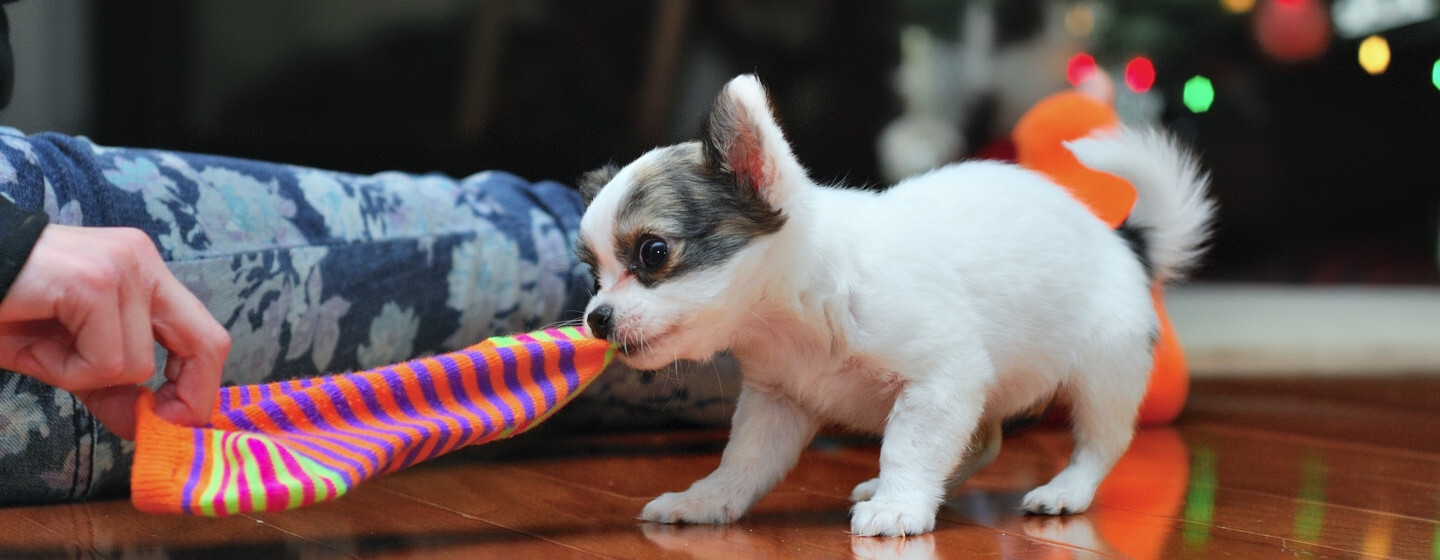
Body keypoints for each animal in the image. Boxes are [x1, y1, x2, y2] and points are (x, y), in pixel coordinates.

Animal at [573, 74, 1215, 535]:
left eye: (654, 252)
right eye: (592, 274)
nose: (597, 319)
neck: (798, 311)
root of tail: (1124, 240)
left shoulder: (940, 381)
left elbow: (909, 447)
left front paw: (899, 505)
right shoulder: (776, 402)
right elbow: (744, 462)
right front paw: (708, 499)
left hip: (1103, 372)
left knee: (1102, 443)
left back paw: (1065, 491)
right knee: (983, 442)